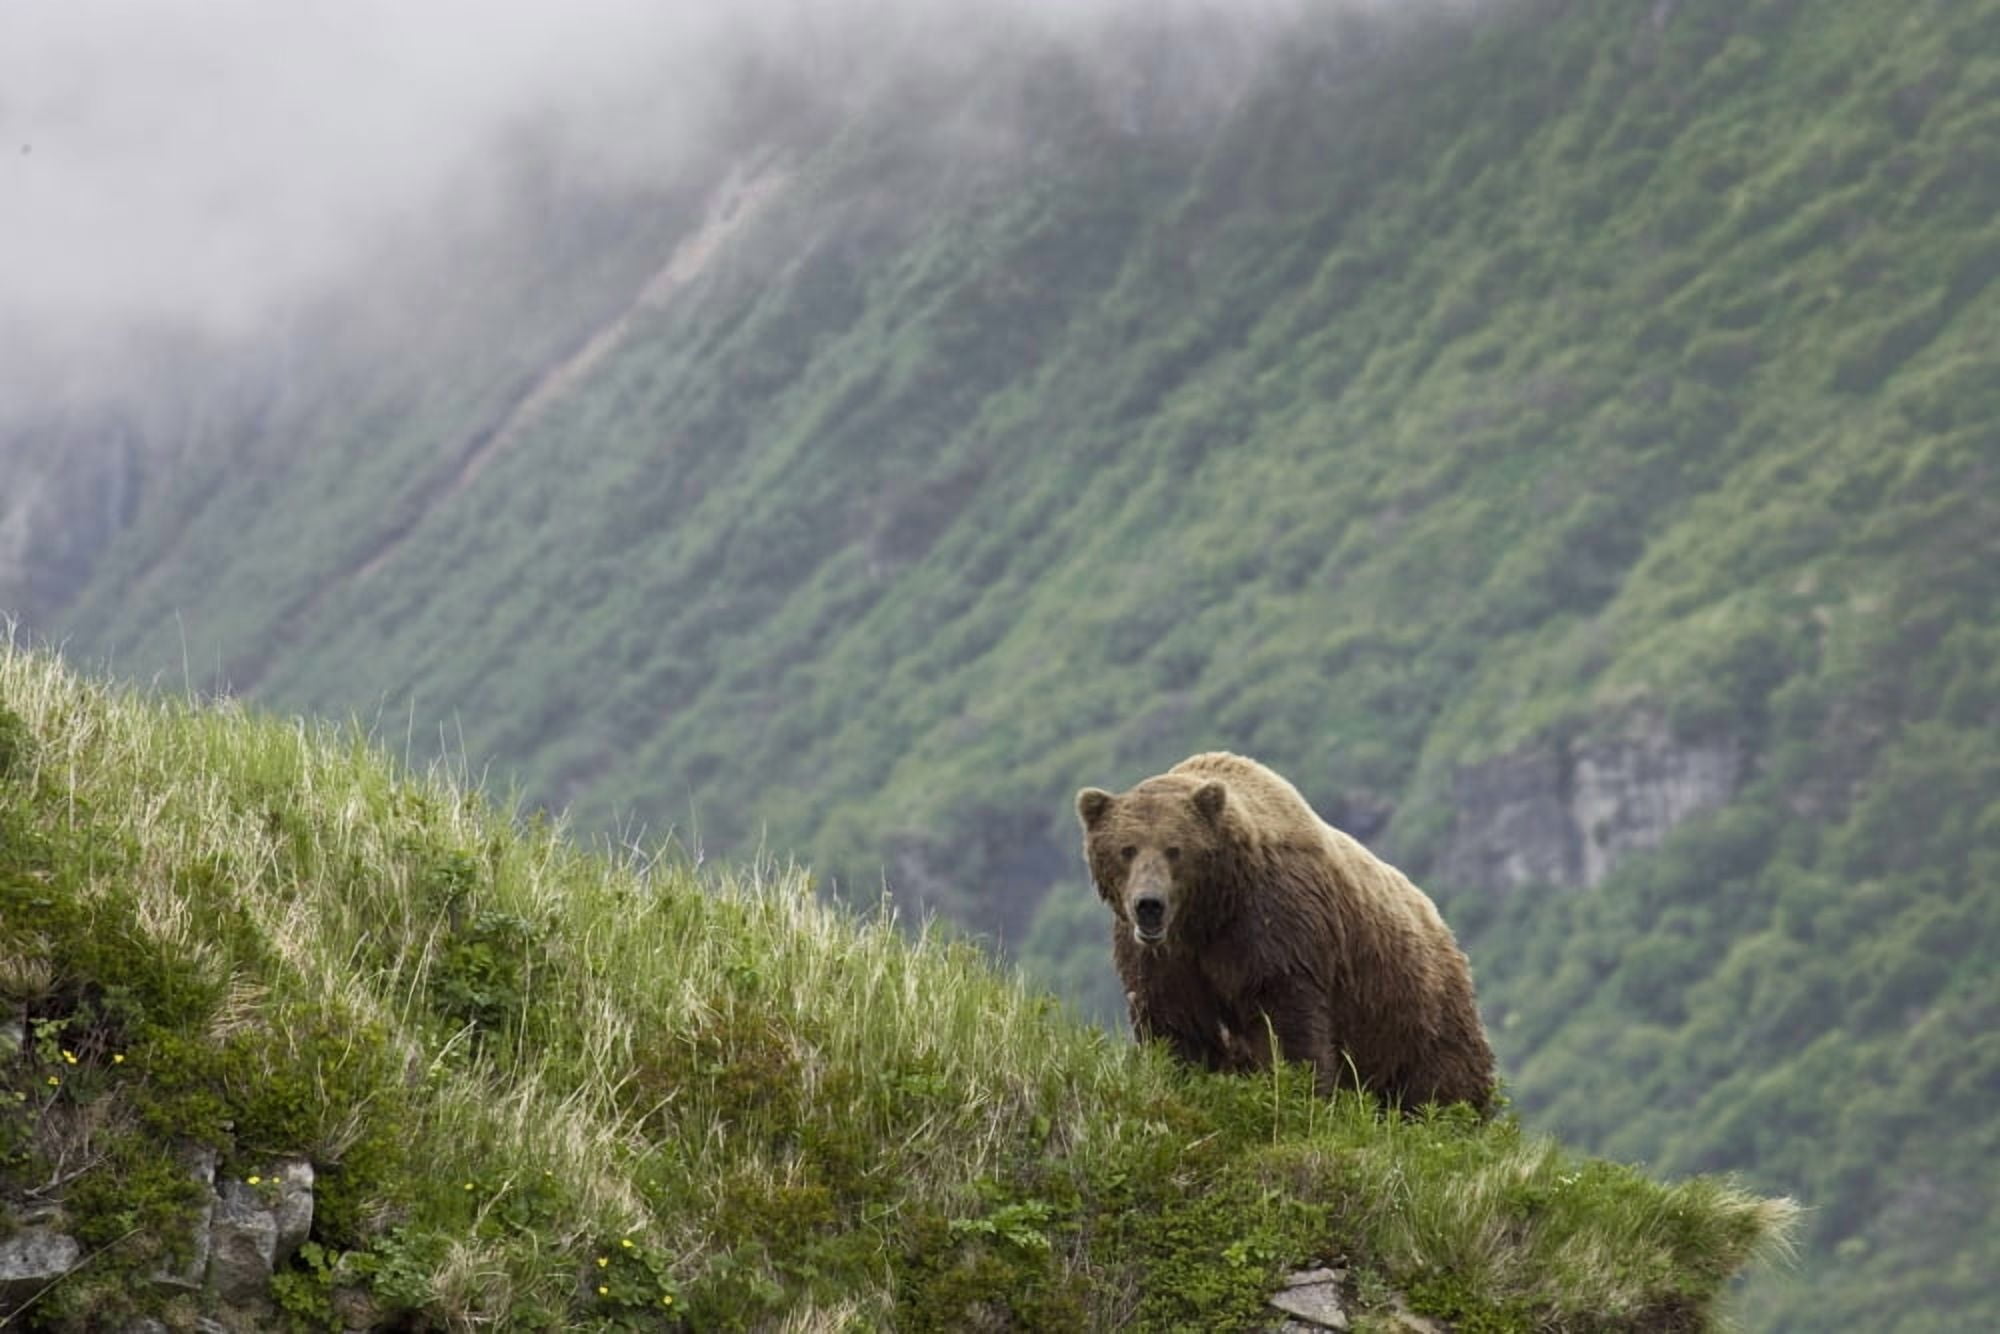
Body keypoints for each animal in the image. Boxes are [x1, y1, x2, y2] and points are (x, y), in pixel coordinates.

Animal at [1076, 751, 1495, 1113]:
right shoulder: (1166, 962)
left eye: (1174, 849)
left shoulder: (1274, 933)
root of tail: (1443, 926)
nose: (1149, 904)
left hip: (1411, 1010)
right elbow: (1174, 1029)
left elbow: (1288, 1027)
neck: (1208, 916)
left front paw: (1298, 1093)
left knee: (1444, 1083)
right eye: (1127, 849)